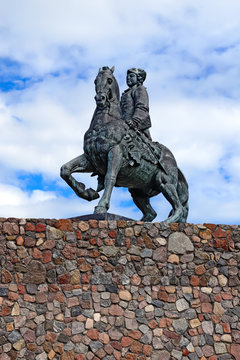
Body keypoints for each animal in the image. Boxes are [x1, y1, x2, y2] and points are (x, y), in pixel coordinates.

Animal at [61, 65, 188, 222]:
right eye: (95, 80)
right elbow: (65, 170)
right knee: (151, 213)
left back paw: (166, 222)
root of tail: (174, 162)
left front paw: (101, 206)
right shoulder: (91, 158)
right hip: (137, 190)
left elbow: (110, 177)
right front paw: (87, 192)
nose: (100, 98)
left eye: (109, 80)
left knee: (179, 208)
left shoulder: (115, 152)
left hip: (164, 180)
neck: (104, 123)